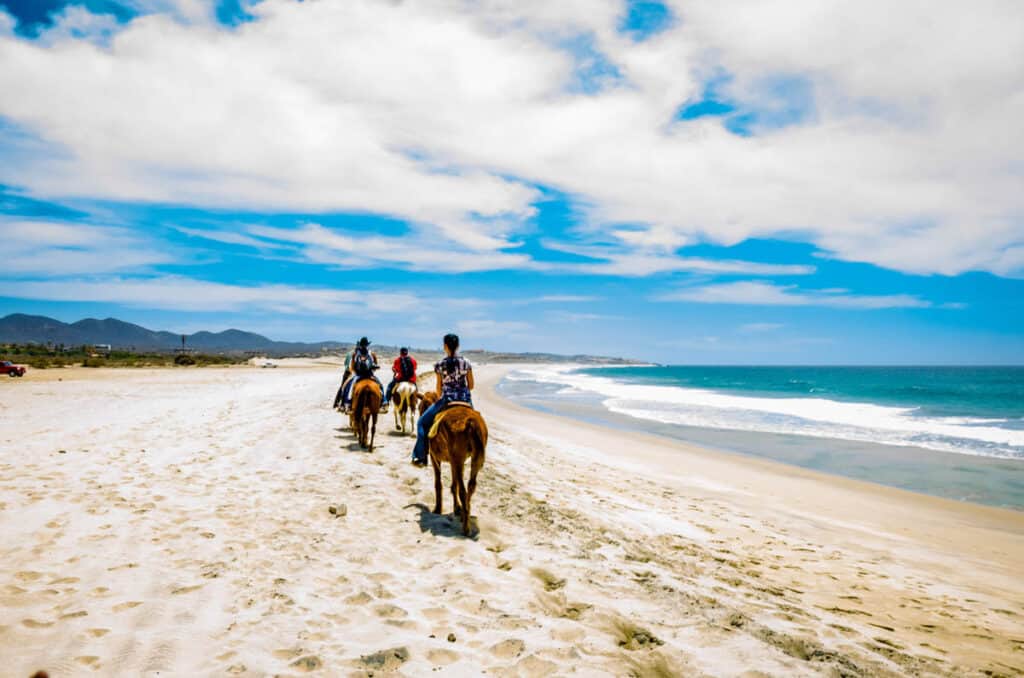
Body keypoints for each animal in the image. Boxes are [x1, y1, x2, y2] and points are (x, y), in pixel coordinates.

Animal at [417, 393, 485, 536]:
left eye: (420, 406)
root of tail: (470, 422)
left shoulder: (435, 457)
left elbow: (438, 483)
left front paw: (437, 509)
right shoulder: (455, 462)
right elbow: (454, 485)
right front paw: (457, 509)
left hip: (457, 459)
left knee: (463, 491)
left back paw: (466, 528)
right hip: (472, 460)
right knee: (470, 487)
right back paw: (465, 515)